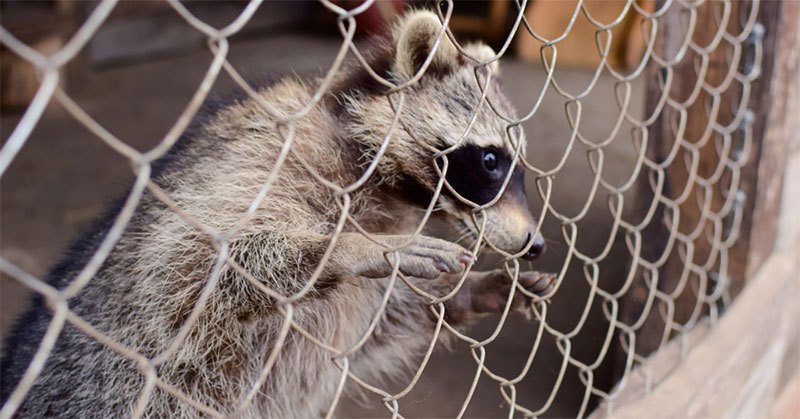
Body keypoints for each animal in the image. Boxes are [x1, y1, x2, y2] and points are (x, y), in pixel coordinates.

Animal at [0, 9, 552, 419]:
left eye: (520, 166)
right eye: (490, 161)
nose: (537, 244)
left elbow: (378, 324)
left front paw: (467, 291)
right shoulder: (262, 156)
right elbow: (192, 261)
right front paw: (346, 249)